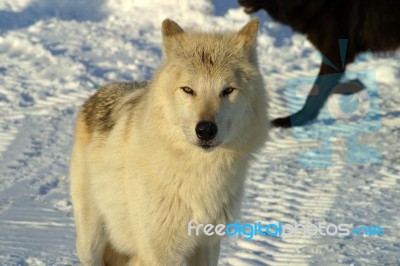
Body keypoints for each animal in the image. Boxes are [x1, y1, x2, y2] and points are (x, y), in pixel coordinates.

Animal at [69, 17, 268, 264]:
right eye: (188, 89)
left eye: (228, 90)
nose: (206, 130)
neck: (200, 174)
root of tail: (99, 92)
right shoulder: (158, 254)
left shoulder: (208, 244)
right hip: (90, 245)